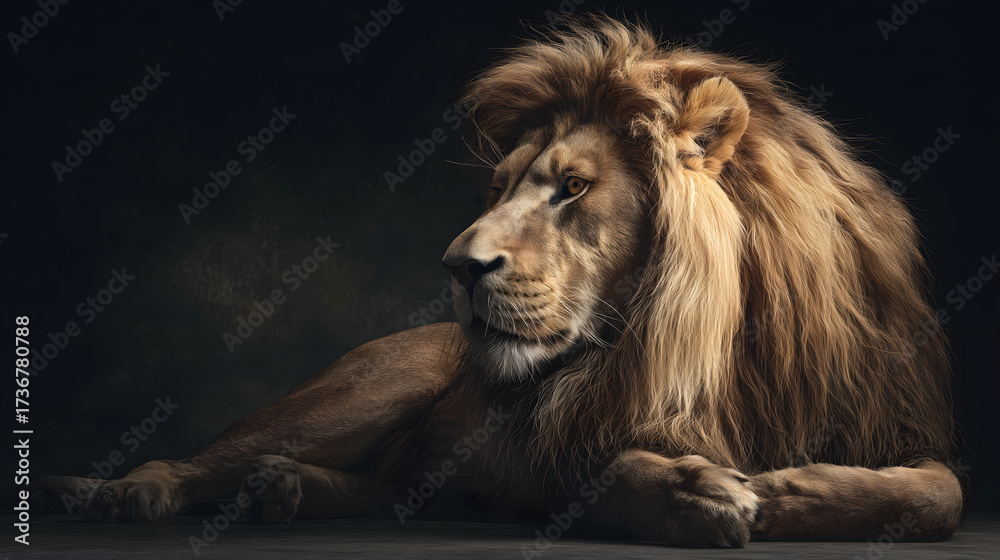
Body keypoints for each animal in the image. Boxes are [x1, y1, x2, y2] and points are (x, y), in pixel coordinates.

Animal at [34, 16, 964, 547]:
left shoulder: (891, 418)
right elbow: (596, 468)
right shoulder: (540, 441)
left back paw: (289, 492)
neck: (712, 341)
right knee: (204, 458)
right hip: (368, 389)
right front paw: (692, 490)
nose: (457, 267)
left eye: (574, 188)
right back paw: (121, 494)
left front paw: (793, 489)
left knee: (394, 487)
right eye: (498, 188)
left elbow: (941, 493)